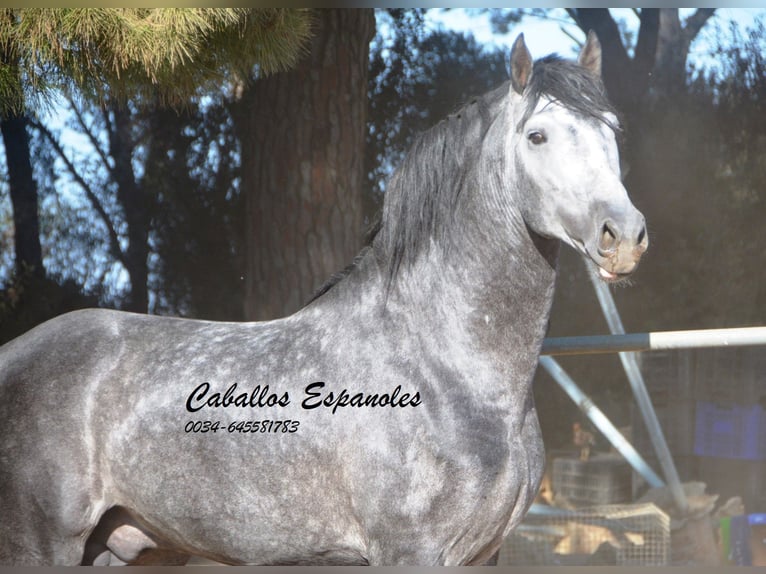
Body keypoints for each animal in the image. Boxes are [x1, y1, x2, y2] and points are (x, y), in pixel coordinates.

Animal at [0, 35, 648, 568]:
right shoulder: (410, 552)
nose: (623, 235)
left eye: (614, 131)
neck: (447, 371)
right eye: (537, 136)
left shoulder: (484, 554)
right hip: (42, 547)